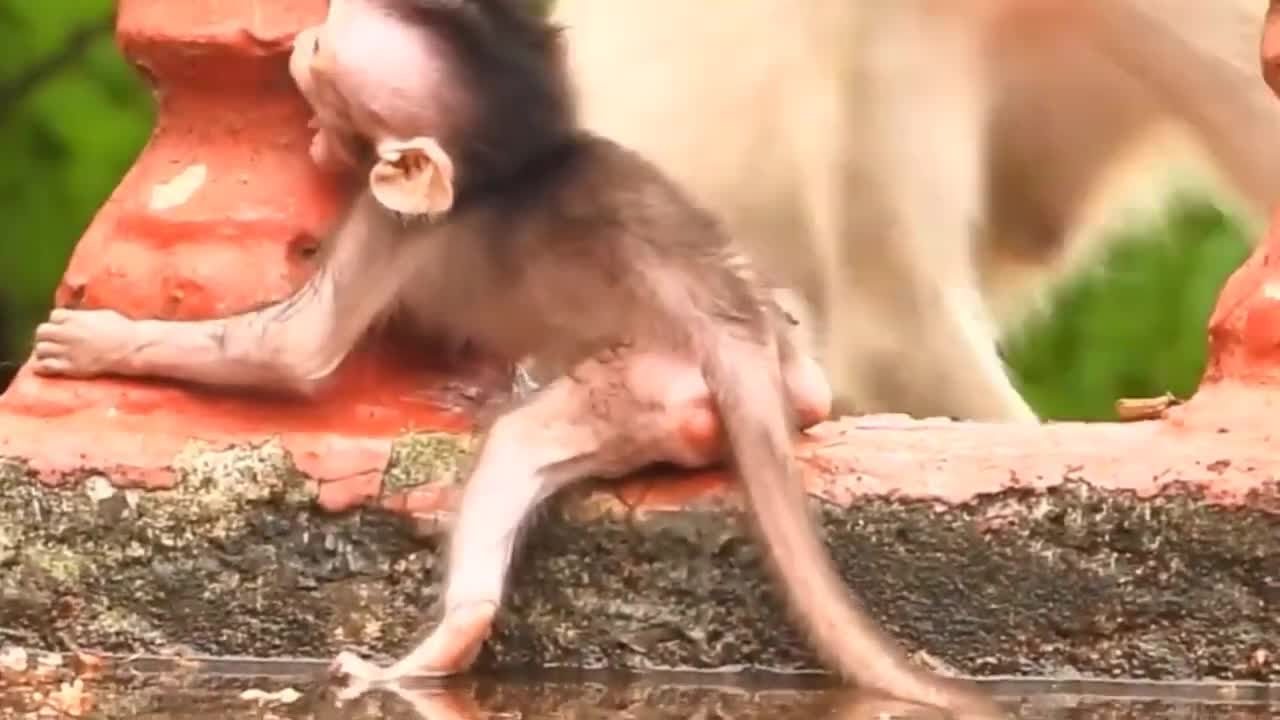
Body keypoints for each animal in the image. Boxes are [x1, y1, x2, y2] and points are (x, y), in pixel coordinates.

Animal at [30, 0, 1001, 717]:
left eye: (321, 62)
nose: (300, 49)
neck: (506, 165)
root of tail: (740, 338)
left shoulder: (391, 224)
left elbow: (294, 352)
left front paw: (99, 339)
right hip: (788, 357)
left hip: (650, 384)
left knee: (522, 444)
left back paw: (441, 641)